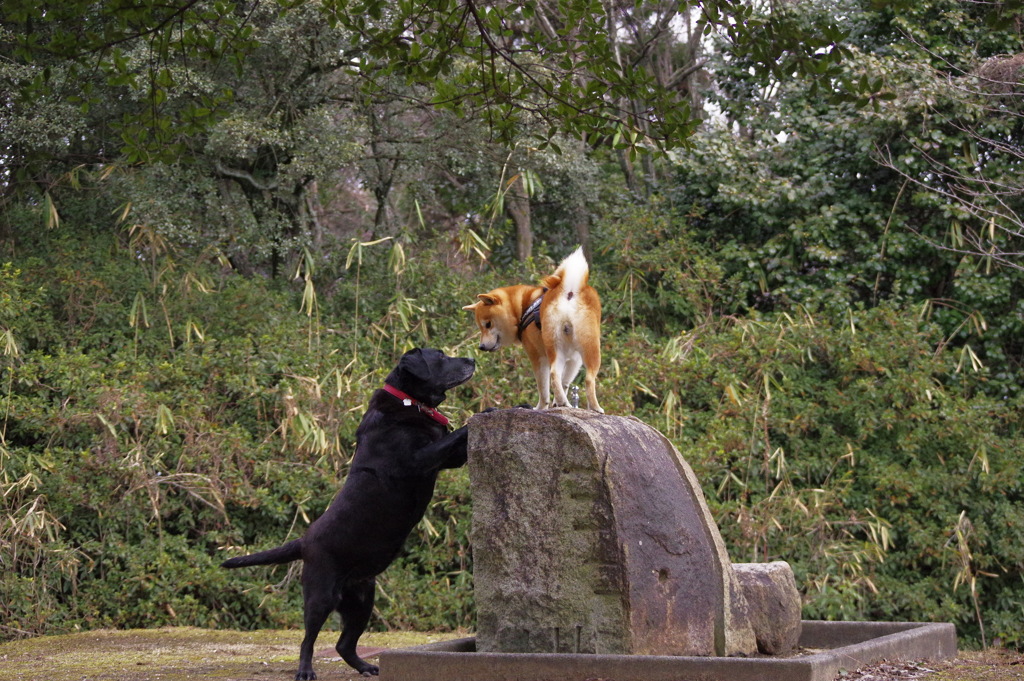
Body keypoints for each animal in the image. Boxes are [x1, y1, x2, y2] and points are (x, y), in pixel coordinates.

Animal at [221, 348, 475, 675]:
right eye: (440, 356)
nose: (472, 359)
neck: (409, 401)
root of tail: (303, 542)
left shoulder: (448, 459)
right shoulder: (417, 461)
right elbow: (454, 436)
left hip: (362, 600)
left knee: (344, 644)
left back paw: (366, 667)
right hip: (321, 596)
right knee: (307, 640)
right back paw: (305, 671)